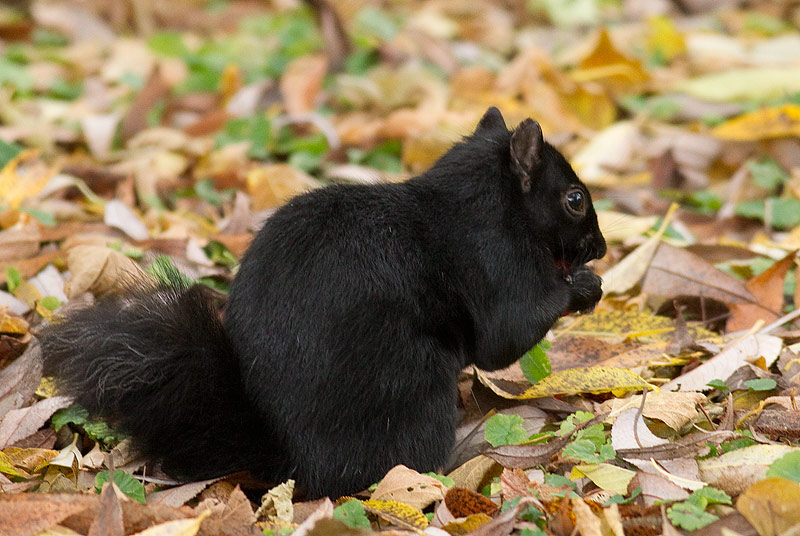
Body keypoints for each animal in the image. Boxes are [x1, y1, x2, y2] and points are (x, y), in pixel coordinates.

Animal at [40, 107, 606, 499]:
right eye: (574, 199)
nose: (600, 248)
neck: (478, 207)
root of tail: (294, 461)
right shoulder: (493, 265)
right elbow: (504, 336)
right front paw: (584, 286)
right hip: (410, 389)